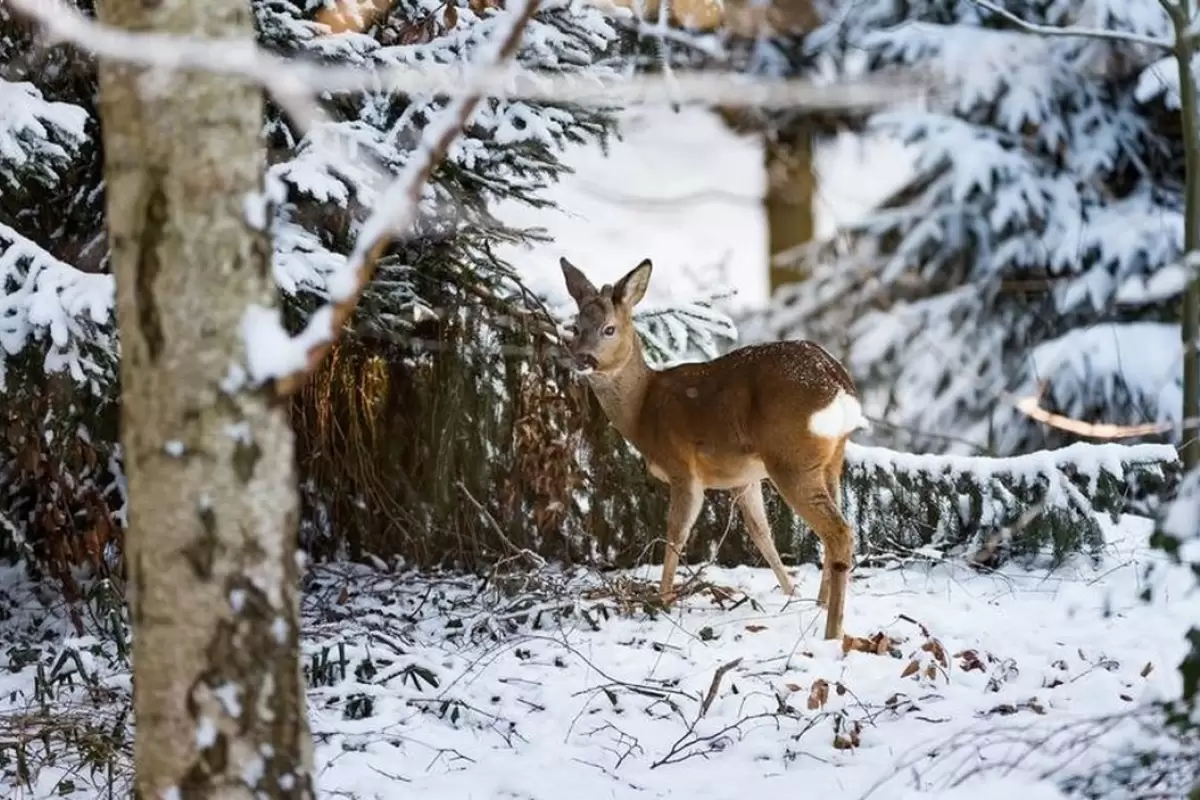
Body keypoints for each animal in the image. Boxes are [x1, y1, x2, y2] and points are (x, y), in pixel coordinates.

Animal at [556, 256, 868, 638]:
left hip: (791, 457)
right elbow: (760, 533)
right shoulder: (743, 476)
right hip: (831, 458)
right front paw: (791, 594)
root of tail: (838, 385)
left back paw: (832, 631)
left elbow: (676, 533)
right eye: (575, 327)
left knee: (839, 532)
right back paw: (820, 604)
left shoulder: (682, 467)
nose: (582, 359)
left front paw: (661, 600)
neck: (642, 409)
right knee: (835, 528)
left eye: (609, 329)